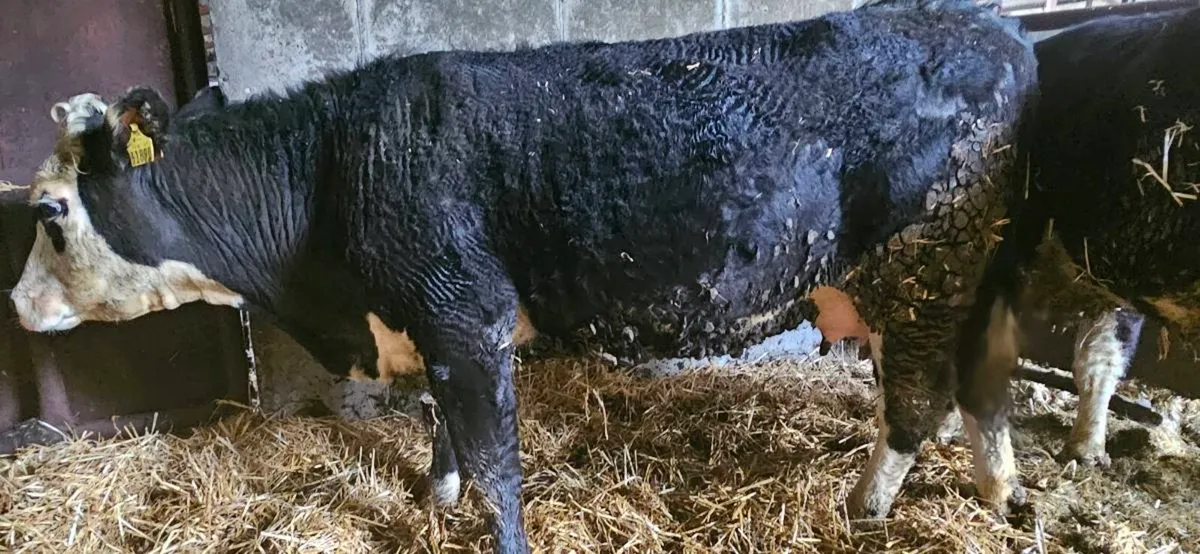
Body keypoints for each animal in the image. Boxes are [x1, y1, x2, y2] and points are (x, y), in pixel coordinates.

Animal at [7, 0, 1038, 551]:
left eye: (49, 212)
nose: (14, 304)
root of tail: (995, 29)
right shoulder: (431, 324)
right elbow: (447, 433)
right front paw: (434, 500)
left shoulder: (467, 316)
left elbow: (497, 459)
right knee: (974, 390)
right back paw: (993, 493)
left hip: (923, 267)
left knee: (916, 402)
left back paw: (862, 509)